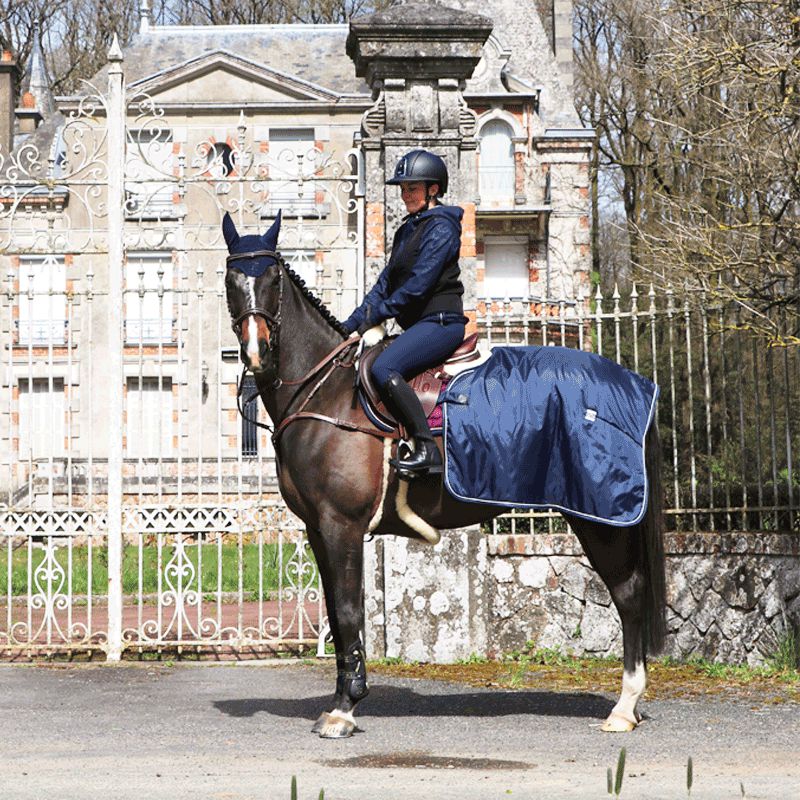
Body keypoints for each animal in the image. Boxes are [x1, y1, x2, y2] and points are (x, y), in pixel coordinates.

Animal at [222, 212, 664, 736]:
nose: (256, 352)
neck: (325, 390)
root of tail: (634, 383)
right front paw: (341, 698)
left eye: (272, 278)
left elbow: (348, 611)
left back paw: (625, 705)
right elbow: (335, 609)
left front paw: (347, 706)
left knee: (629, 595)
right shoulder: (317, 528)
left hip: (599, 517)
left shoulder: (340, 525)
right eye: (231, 279)